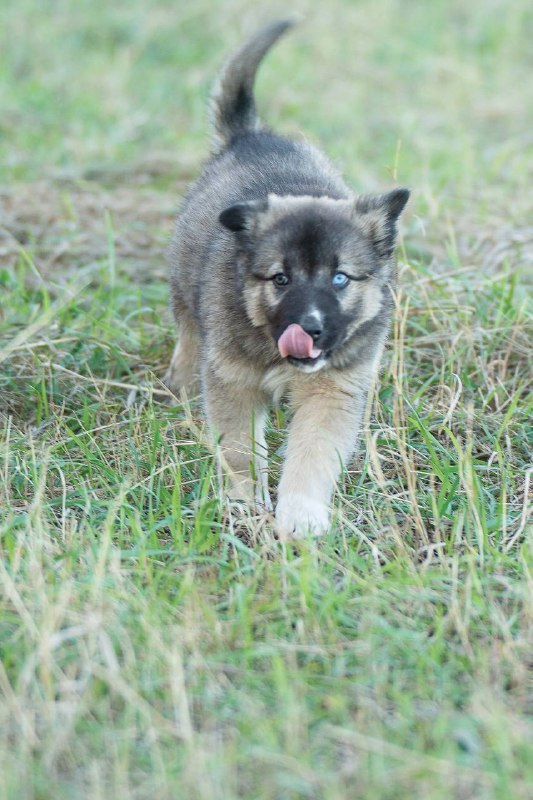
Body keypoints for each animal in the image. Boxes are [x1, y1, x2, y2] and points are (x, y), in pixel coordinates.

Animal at [168, 18, 410, 536]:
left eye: (340, 279)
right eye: (280, 279)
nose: (310, 328)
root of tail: (250, 136)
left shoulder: (332, 390)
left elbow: (312, 456)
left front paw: (301, 517)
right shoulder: (232, 381)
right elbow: (239, 451)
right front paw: (243, 503)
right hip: (185, 292)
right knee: (189, 335)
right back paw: (181, 386)